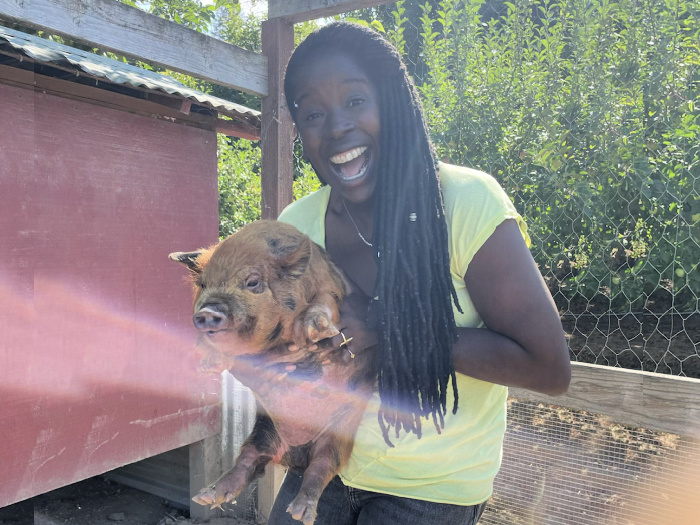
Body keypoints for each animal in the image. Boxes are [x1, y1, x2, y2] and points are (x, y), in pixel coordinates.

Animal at [170, 220, 378, 524]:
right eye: (203, 284)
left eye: (253, 282)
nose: (208, 312)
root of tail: (295, 455)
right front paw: (206, 363)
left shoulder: (331, 288)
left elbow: (323, 306)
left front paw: (317, 331)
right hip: (265, 428)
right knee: (249, 458)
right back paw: (206, 496)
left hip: (339, 433)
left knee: (322, 467)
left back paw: (301, 513)